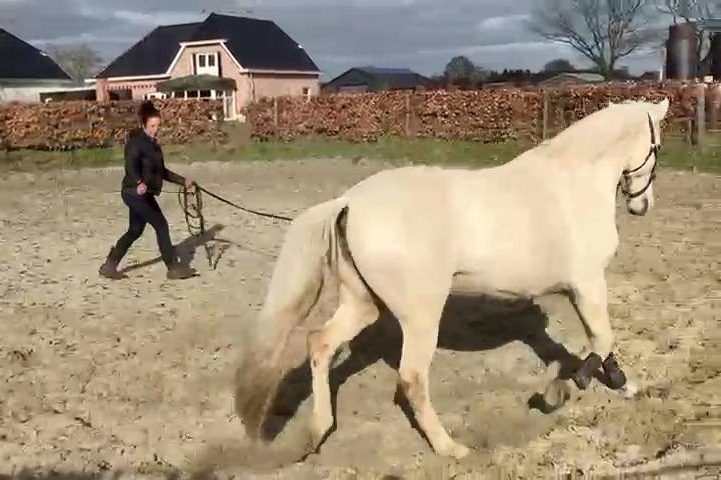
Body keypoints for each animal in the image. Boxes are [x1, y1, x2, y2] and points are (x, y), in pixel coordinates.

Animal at [234, 98, 670, 459]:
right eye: (658, 147)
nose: (642, 205)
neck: (571, 184)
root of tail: (349, 202)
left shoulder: (584, 288)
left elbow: (603, 340)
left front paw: (623, 385)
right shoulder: (588, 283)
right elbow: (602, 339)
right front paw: (561, 390)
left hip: (363, 304)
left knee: (320, 345)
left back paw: (317, 431)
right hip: (420, 315)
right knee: (411, 379)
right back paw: (450, 448)